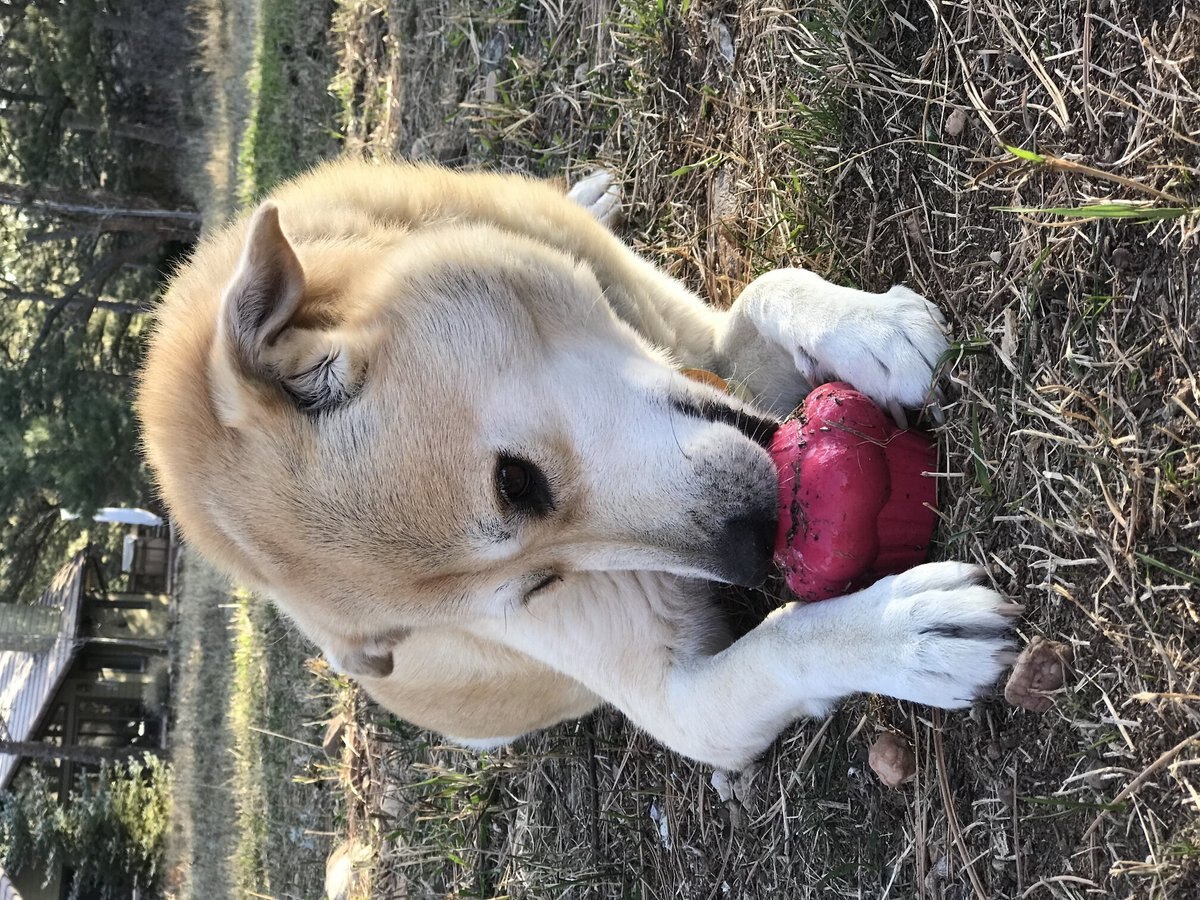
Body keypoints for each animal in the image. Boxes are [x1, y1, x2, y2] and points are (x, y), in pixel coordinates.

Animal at [142, 160, 1022, 768]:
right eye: (539, 588)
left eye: (514, 482)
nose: (754, 544)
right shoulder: (682, 708)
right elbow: (786, 645)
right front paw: (905, 633)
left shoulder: (693, 336)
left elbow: (769, 288)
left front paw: (875, 330)